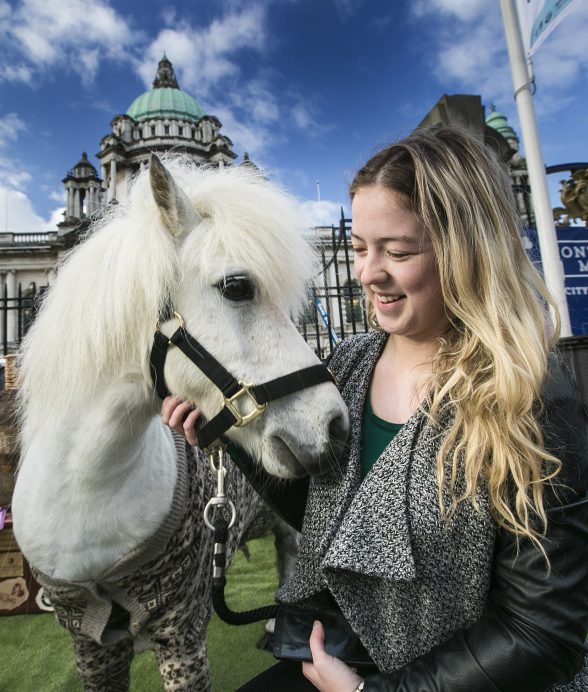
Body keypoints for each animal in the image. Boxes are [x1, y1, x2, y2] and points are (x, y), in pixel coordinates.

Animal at [12, 157, 350, 692]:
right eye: (237, 287)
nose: (337, 426)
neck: (86, 492)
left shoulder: (182, 629)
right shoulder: (88, 643)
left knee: (291, 549)